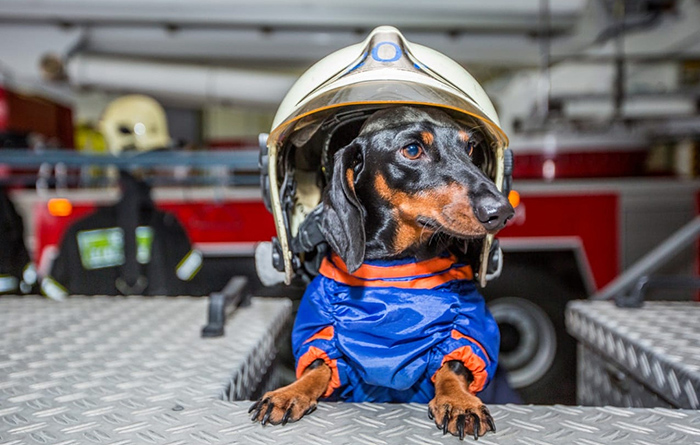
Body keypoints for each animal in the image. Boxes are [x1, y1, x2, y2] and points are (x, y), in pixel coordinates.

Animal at [252, 106, 516, 438]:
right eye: (412, 150)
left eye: (469, 147)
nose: (501, 211)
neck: (395, 266)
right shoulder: (321, 330)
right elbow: (319, 365)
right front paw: (290, 392)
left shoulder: (468, 327)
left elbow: (454, 364)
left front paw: (460, 401)